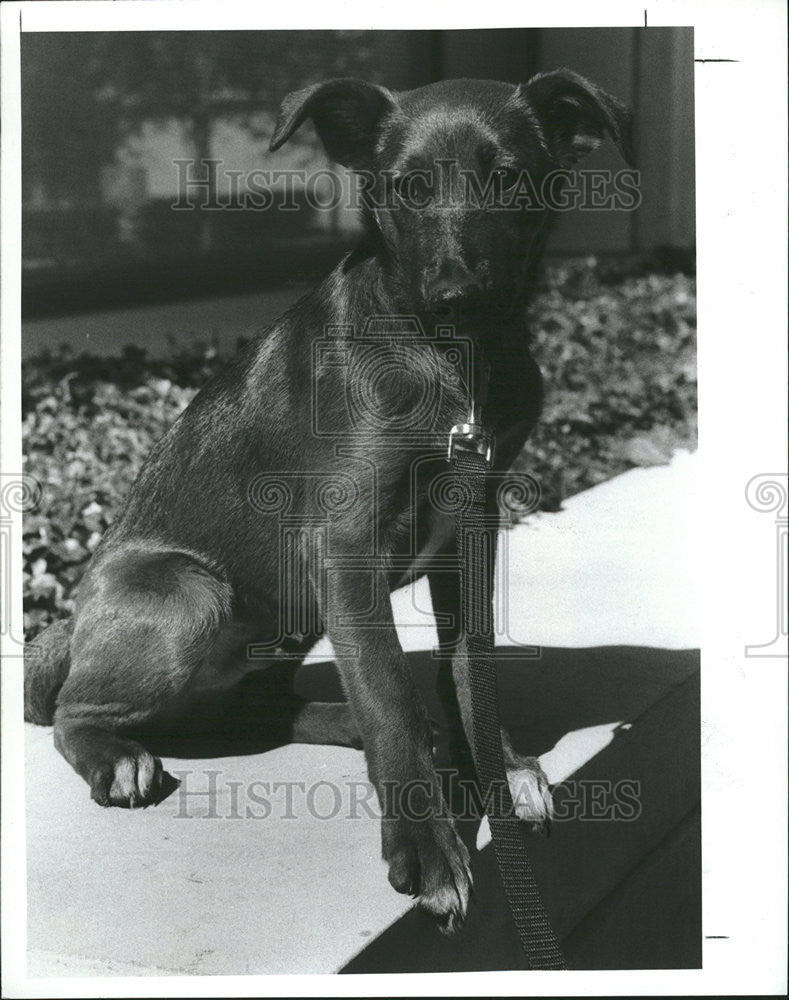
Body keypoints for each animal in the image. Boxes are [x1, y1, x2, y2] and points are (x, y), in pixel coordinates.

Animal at [24, 70, 636, 928]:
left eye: (511, 178)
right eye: (406, 187)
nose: (454, 295)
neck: (454, 364)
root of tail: (73, 624)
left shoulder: (470, 527)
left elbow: (465, 665)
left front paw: (497, 766)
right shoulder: (346, 545)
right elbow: (385, 691)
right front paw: (427, 842)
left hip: (289, 612)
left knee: (249, 710)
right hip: (189, 593)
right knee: (75, 712)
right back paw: (116, 757)